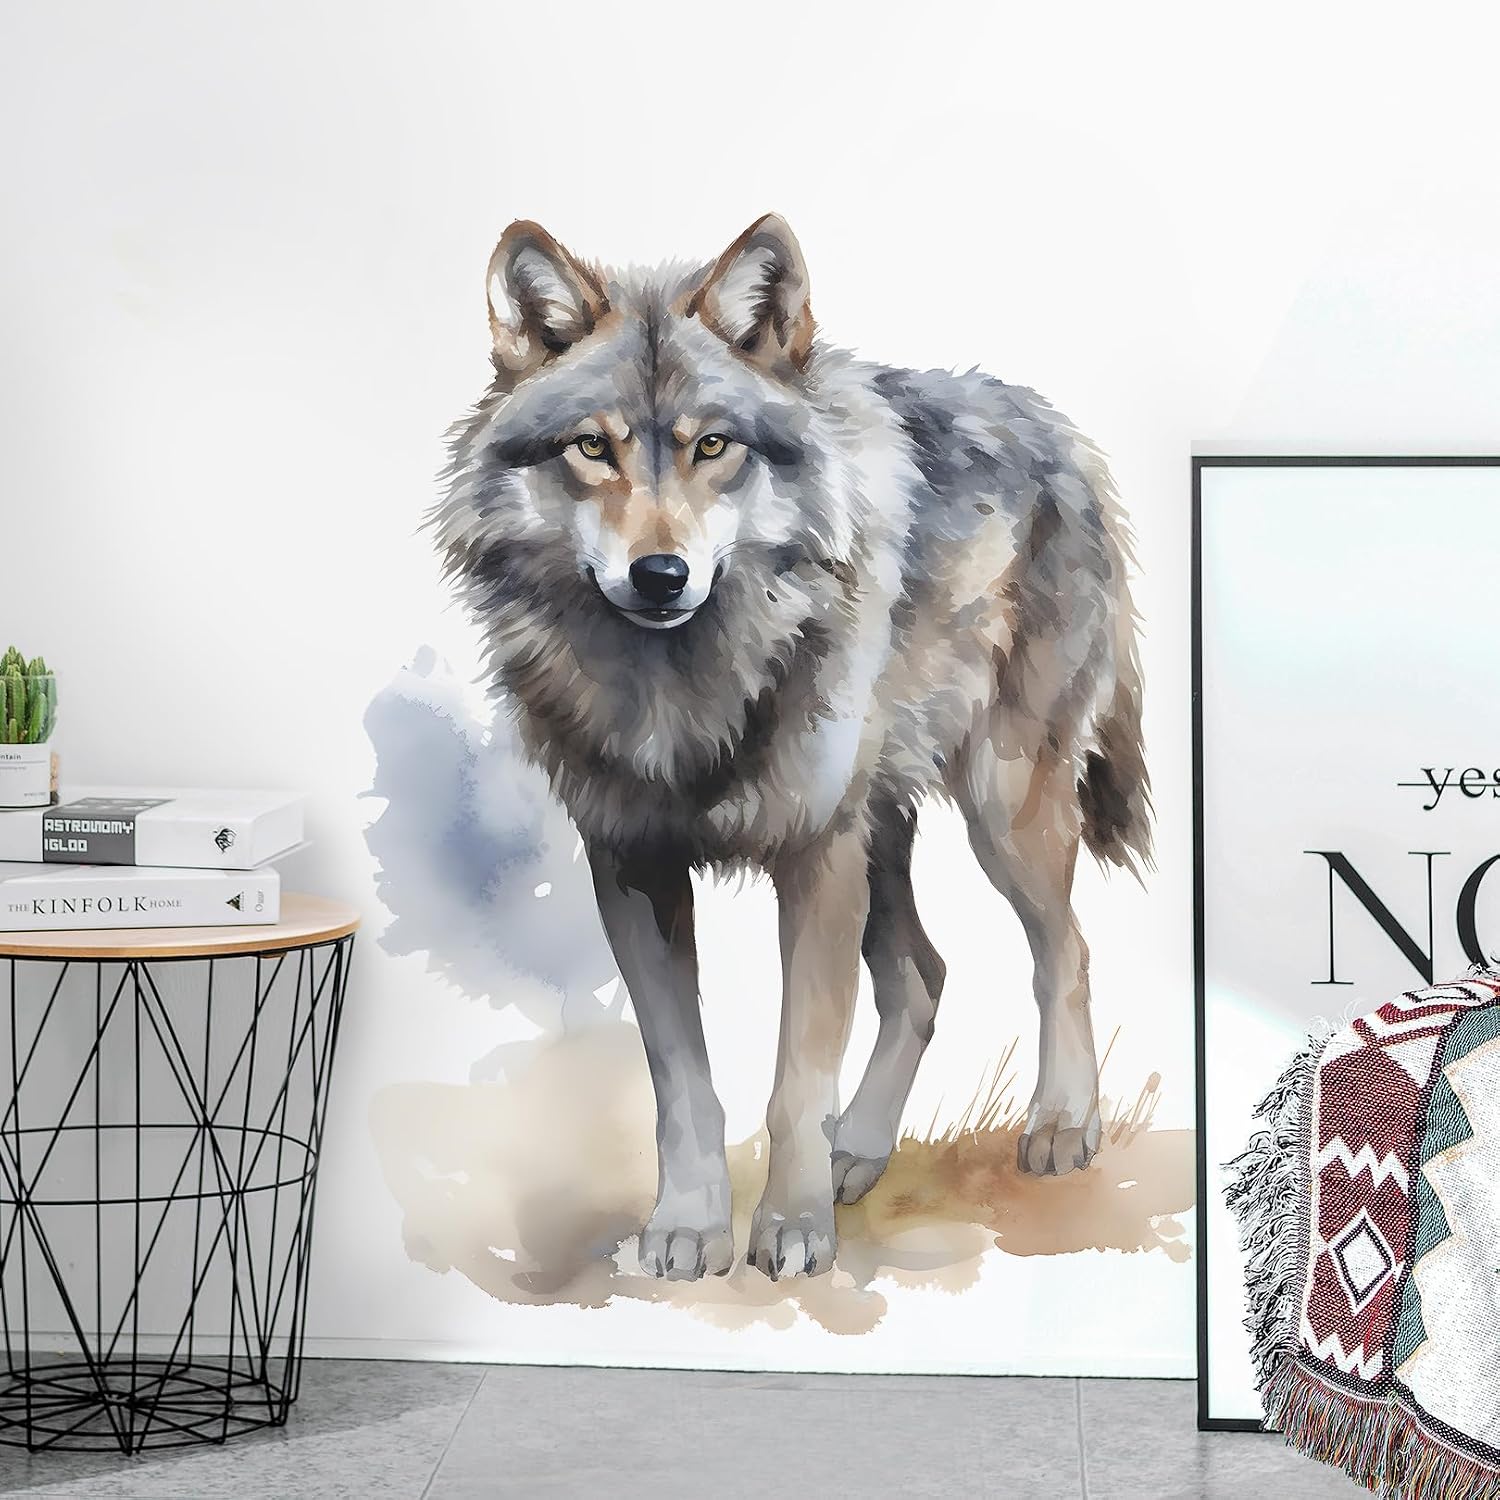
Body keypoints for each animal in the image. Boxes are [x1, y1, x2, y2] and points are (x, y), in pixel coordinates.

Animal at [431, 214, 1151, 1282]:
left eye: (713, 446)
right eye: (593, 448)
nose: (660, 574)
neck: (678, 690)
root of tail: (1058, 429)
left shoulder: (814, 857)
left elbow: (795, 1078)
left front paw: (793, 1228)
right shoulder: (633, 869)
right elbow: (683, 1084)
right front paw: (688, 1228)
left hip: (998, 813)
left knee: (1066, 949)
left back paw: (1062, 1125)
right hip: (882, 831)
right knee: (923, 979)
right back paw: (862, 1150)